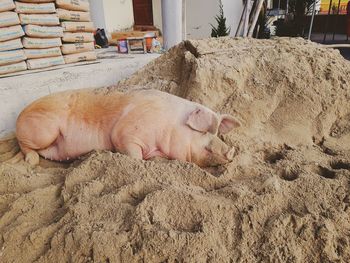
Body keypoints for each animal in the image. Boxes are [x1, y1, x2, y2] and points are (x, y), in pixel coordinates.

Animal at [15, 88, 241, 167]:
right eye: (203, 132)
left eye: (218, 134)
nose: (232, 152)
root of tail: (19, 118)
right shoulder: (124, 134)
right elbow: (134, 156)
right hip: (43, 130)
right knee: (24, 146)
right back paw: (31, 162)